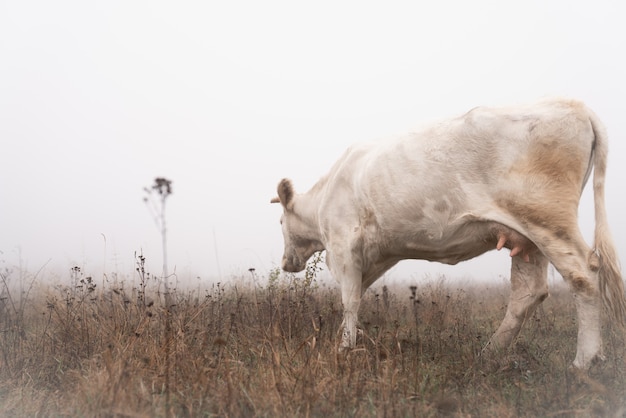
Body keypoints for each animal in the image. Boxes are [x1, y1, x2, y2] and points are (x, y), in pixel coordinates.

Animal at [272, 98, 624, 370]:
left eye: (279, 222)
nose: (286, 262)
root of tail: (574, 104)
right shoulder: (372, 255)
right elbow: (356, 293)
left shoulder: (344, 242)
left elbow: (350, 299)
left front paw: (345, 348)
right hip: (527, 236)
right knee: (528, 292)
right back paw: (489, 353)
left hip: (548, 218)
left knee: (583, 274)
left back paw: (584, 361)